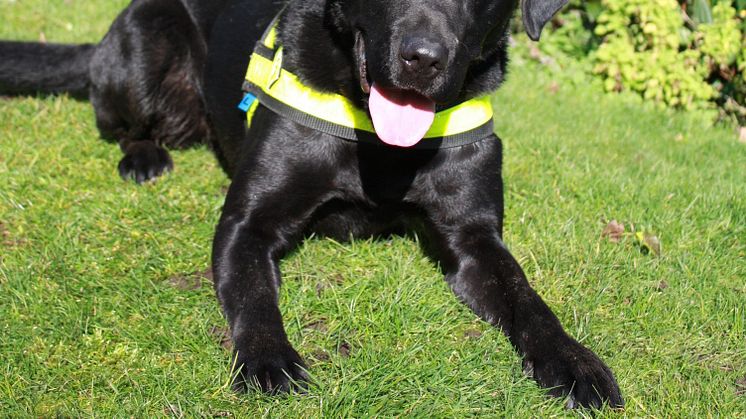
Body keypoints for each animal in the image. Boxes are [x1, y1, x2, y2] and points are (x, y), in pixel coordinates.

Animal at [205, 0, 620, 410]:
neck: (380, 141)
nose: (422, 58)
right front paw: (268, 358)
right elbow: (254, 293)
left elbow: (527, 298)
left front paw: (572, 359)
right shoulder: (249, 224)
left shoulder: (474, 238)